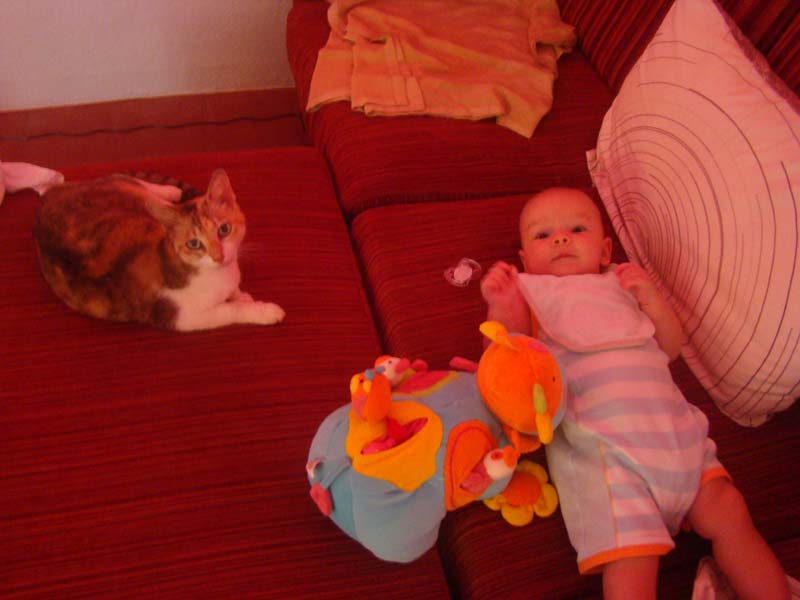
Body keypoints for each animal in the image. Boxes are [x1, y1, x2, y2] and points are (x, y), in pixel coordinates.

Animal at [33, 169, 285, 331]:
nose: (218, 256)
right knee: (126, 180)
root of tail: (50, 194)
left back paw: (171, 192)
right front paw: (263, 310)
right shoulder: (182, 316)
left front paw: (241, 295)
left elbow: (234, 292)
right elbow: (230, 310)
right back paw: (171, 193)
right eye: (194, 244)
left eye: (224, 229)